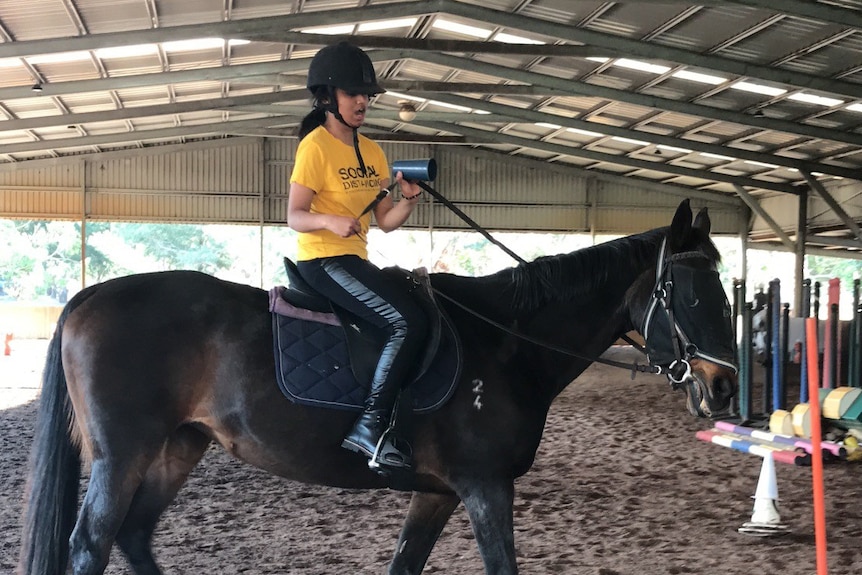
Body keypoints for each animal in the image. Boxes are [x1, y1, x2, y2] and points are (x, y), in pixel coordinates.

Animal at [18, 199, 736, 575]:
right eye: (688, 293)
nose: (724, 387)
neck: (506, 341)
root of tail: (87, 296)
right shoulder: (485, 486)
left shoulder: (440, 492)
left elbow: (404, 563)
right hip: (123, 453)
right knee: (92, 544)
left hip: (180, 444)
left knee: (134, 536)